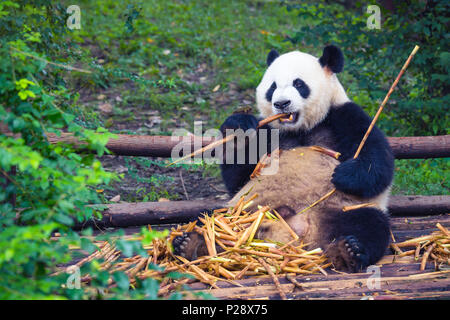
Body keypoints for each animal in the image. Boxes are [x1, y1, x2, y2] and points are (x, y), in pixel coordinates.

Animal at [172, 45, 394, 272]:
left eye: (299, 84)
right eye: (272, 87)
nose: (281, 103)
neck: (300, 129)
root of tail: (296, 234)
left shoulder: (343, 115)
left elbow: (378, 162)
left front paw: (344, 175)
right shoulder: (268, 130)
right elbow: (238, 177)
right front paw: (238, 123)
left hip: (340, 208)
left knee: (370, 224)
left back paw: (348, 251)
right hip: (243, 209)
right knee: (208, 217)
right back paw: (192, 244)